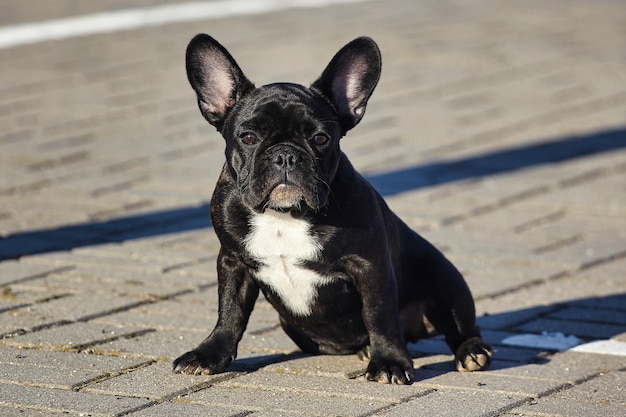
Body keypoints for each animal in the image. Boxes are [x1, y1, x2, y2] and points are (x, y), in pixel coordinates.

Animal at [172, 34, 492, 382]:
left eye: (320, 138)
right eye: (248, 137)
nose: (285, 155)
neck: (284, 215)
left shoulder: (370, 266)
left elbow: (378, 313)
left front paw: (389, 361)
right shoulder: (233, 262)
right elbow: (230, 311)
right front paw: (209, 353)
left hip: (446, 281)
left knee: (459, 327)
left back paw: (471, 351)